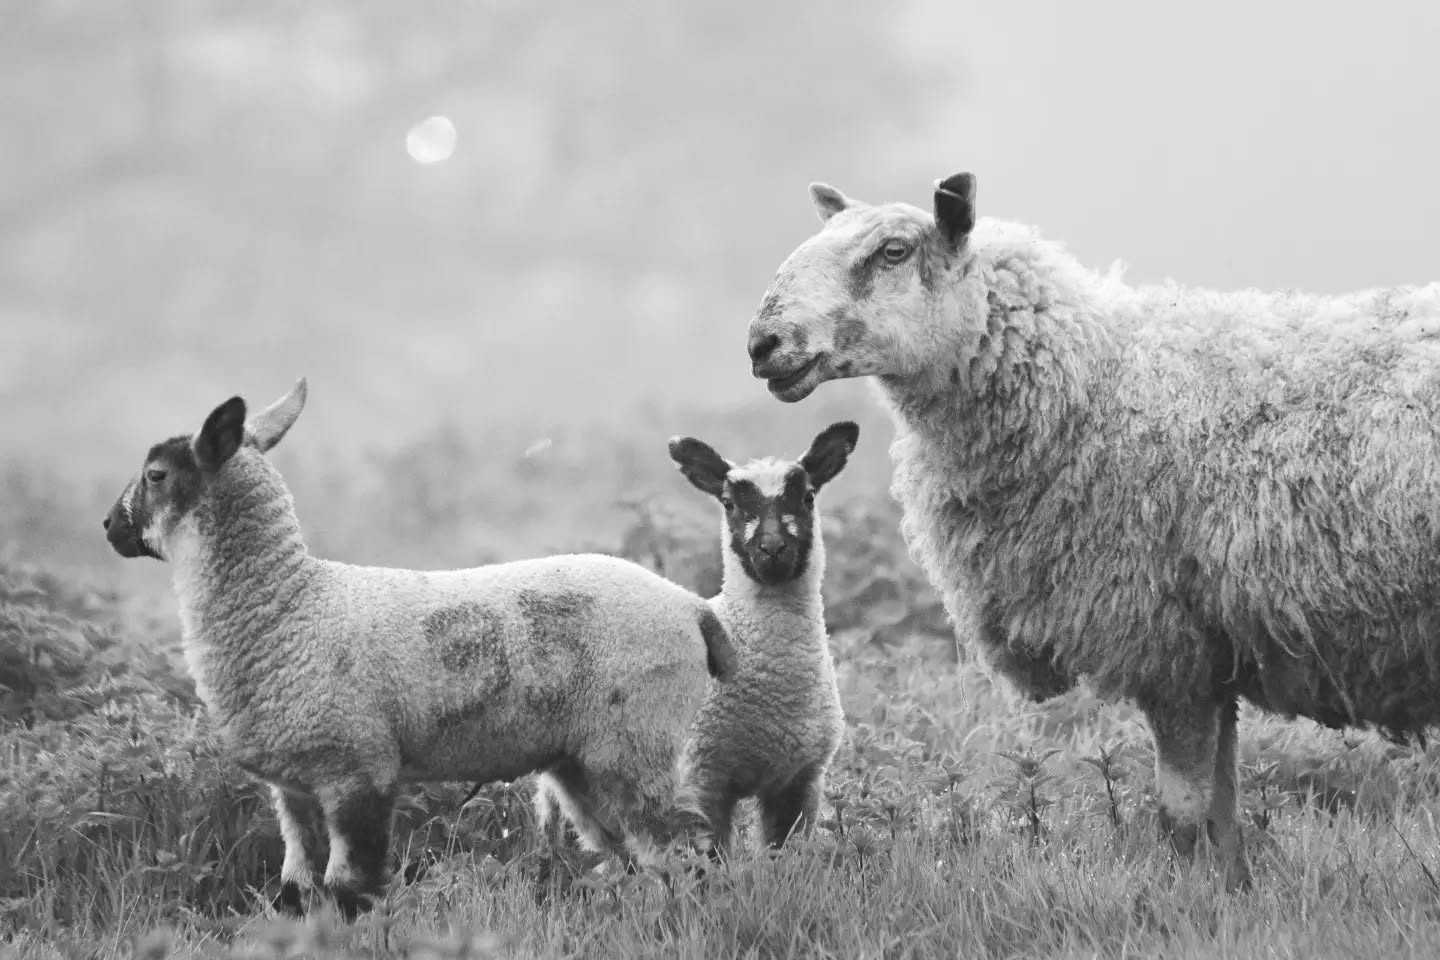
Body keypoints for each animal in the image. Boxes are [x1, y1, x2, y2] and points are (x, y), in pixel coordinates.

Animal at [101, 378, 737, 918]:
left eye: (155, 475)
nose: (109, 526)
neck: (288, 607)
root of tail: (693, 608)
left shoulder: (359, 768)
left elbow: (349, 890)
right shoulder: (294, 786)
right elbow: (296, 890)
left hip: (639, 737)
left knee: (688, 849)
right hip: (584, 758)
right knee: (638, 855)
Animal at [658, 421, 856, 855]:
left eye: (808, 497)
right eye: (728, 503)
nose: (773, 549)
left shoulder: (800, 782)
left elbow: (786, 852)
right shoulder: (703, 777)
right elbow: (712, 856)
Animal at [743, 170, 1440, 890]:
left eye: (893, 252)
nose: (763, 344)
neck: (1090, 382)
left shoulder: (1167, 646)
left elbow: (1183, 815)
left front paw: (1190, 899)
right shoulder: (1211, 654)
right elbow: (1223, 814)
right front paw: (1232, 893)